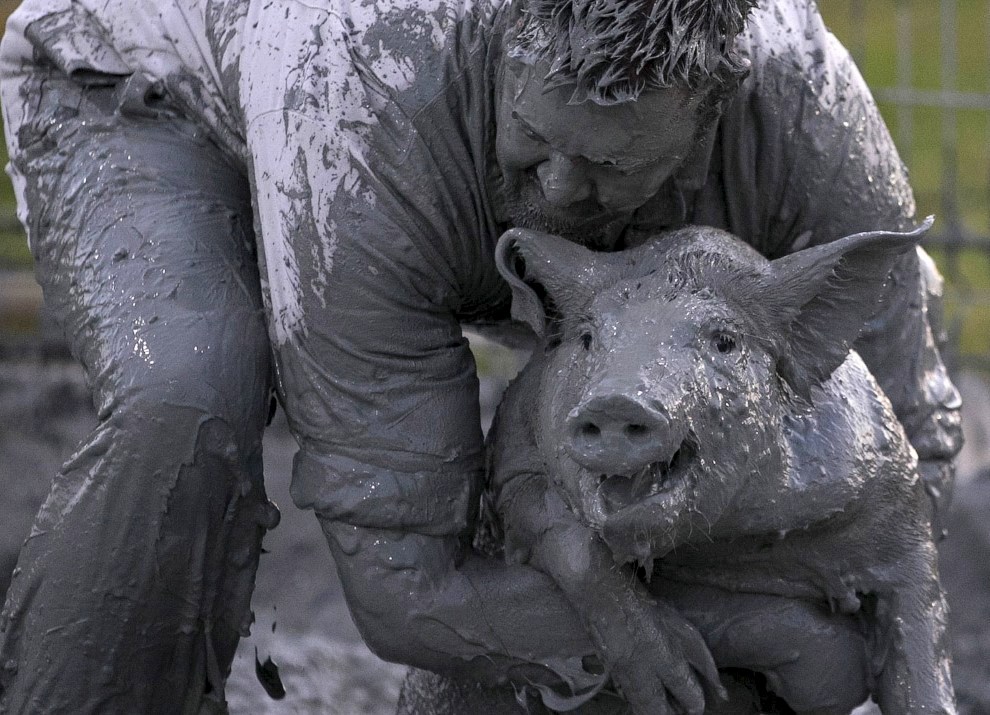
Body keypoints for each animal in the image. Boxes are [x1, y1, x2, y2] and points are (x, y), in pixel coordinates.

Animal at [486, 220, 952, 715]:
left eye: (724, 341)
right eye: (588, 338)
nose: (616, 401)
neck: (721, 543)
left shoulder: (895, 496)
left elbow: (918, 630)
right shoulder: (510, 453)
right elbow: (563, 535)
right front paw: (683, 693)